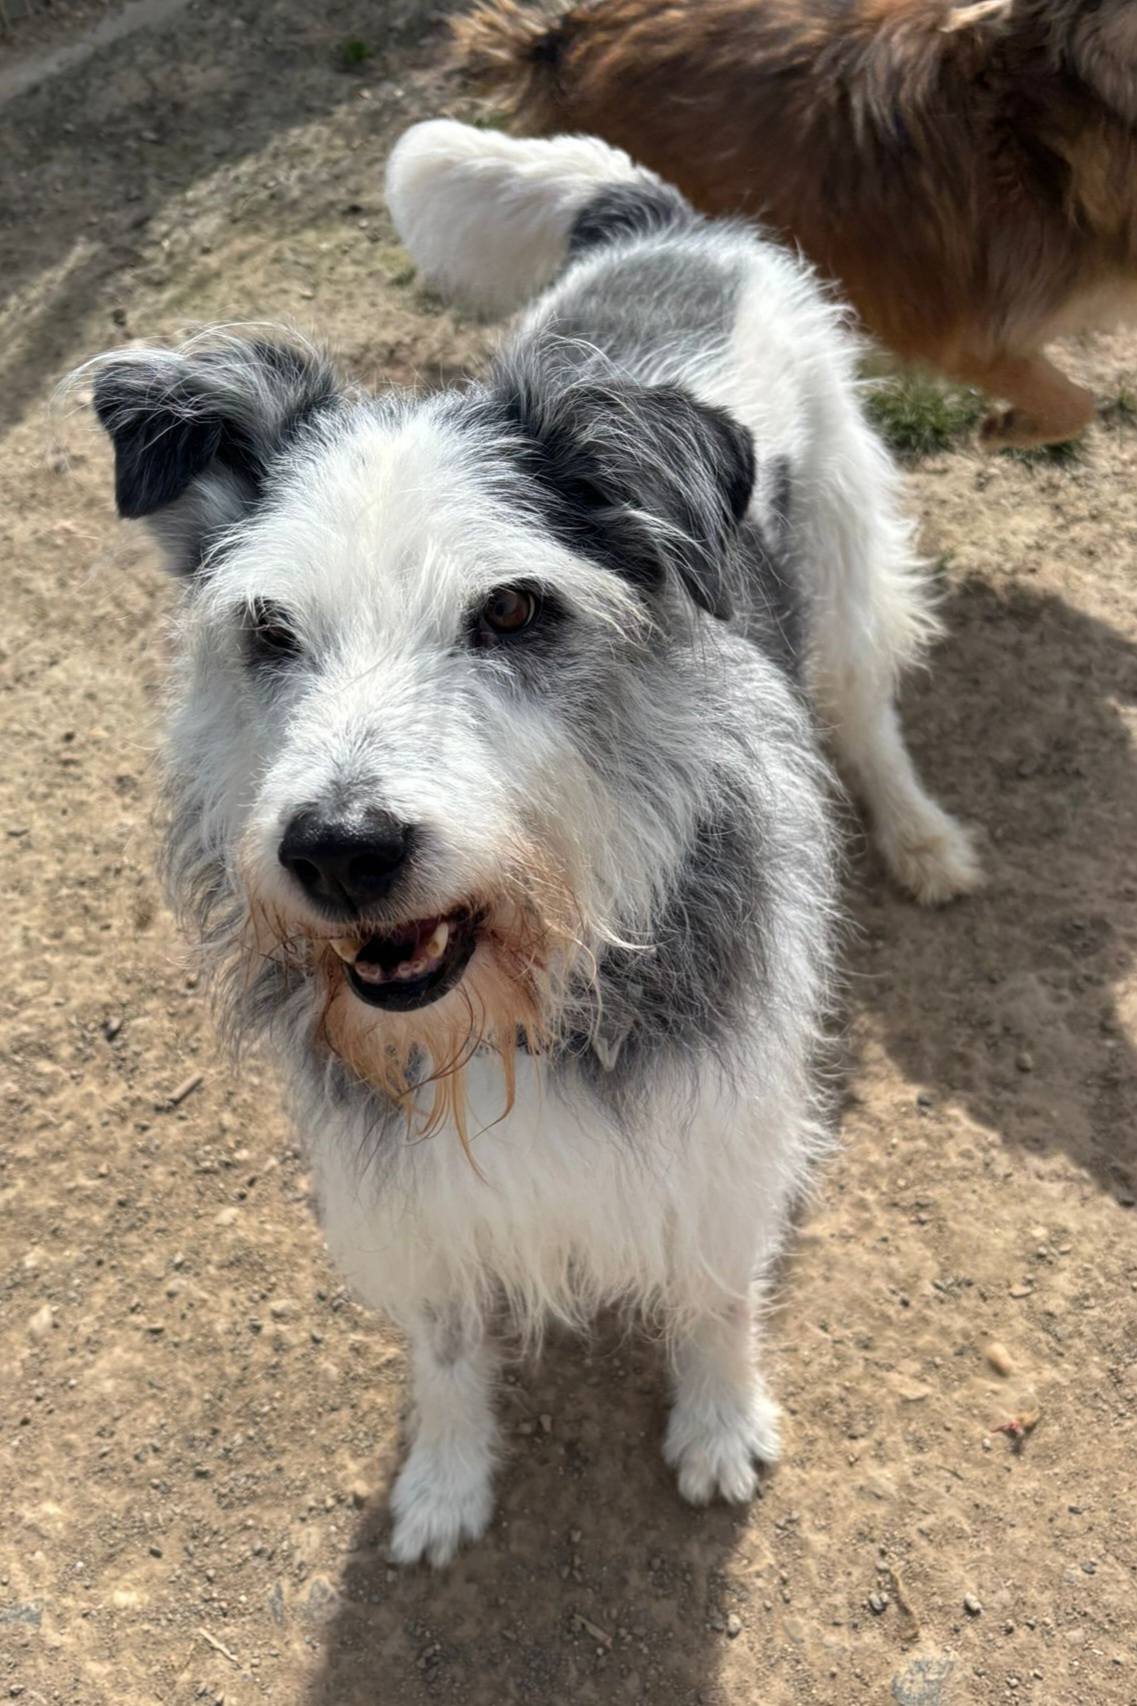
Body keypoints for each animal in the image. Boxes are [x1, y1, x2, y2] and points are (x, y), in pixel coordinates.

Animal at [82, 119, 977, 1566]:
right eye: (269, 629)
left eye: (510, 610)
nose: (340, 848)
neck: (523, 998)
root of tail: (664, 228)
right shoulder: (406, 1184)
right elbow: (446, 1342)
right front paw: (446, 1482)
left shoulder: (721, 1131)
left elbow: (712, 1294)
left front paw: (717, 1428)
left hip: (848, 569)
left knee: (868, 706)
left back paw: (922, 838)